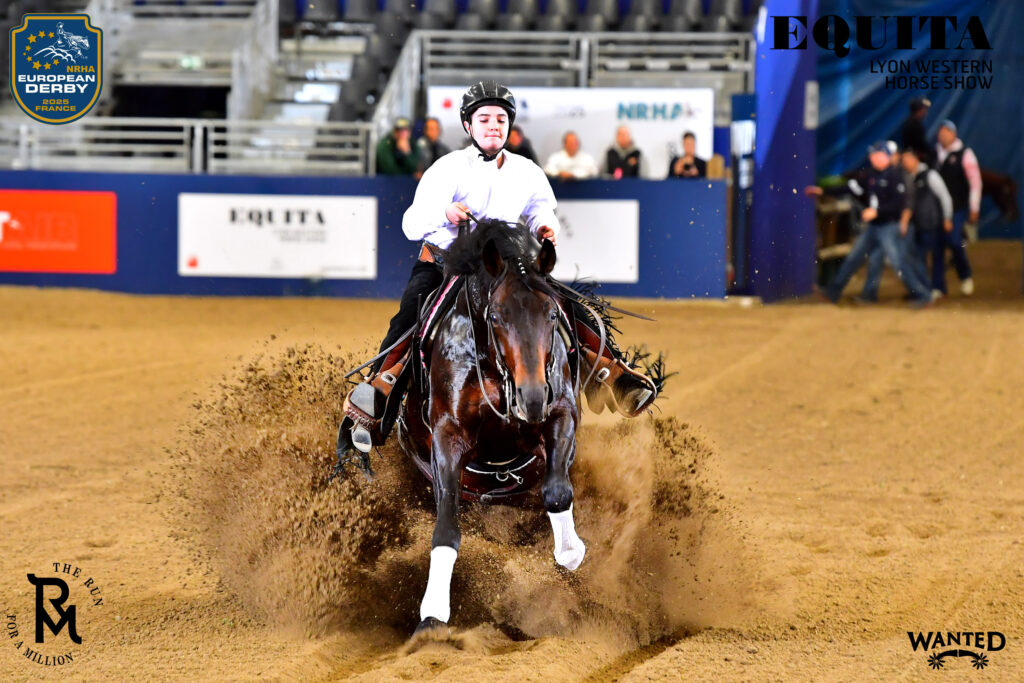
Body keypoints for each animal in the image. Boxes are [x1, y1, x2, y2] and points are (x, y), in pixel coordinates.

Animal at [394, 220, 585, 637]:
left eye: (552, 314)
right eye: (495, 316)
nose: (532, 396)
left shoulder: (561, 412)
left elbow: (557, 492)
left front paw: (570, 552)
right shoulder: (447, 437)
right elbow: (446, 528)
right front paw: (432, 616)